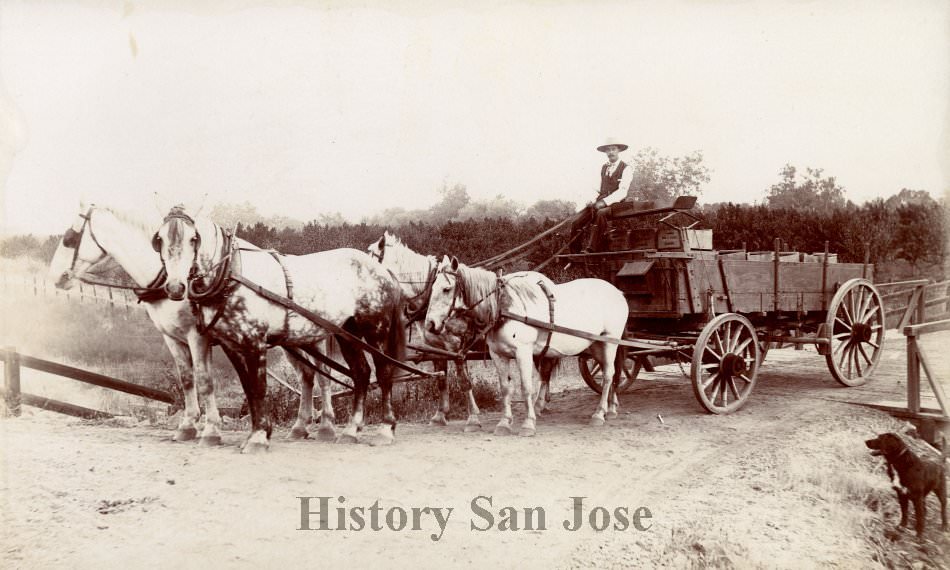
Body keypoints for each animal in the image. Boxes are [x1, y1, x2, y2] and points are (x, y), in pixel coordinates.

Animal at [46, 203, 342, 444]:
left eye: (69, 238)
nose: (56, 277)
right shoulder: (172, 337)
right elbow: (187, 379)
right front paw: (188, 427)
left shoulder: (197, 336)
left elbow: (204, 380)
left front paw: (211, 430)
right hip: (294, 340)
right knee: (307, 376)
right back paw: (300, 427)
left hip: (315, 337)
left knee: (323, 379)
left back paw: (326, 427)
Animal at [154, 206, 408, 450]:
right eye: (160, 240)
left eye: (193, 239)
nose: (175, 287)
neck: (230, 273)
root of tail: (382, 270)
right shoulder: (232, 345)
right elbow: (248, 388)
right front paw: (256, 433)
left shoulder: (254, 342)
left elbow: (259, 388)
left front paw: (258, 437)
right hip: (347, 332)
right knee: (361, 374)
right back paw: (351, 430)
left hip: (375, 329)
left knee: (383, 372)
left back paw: (385, 429)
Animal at [366, 231, 484, 430]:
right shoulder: (435, 346)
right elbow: (441, 380)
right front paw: (440, 415)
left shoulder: (456, 347)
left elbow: (464, 381)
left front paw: (474, 418)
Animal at [426, 255, 632, 432]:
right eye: (431, 289)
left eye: (446, 289)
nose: (430, 324)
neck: (502, 307)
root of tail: (618, 292)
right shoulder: (498, 355)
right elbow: (505, 388)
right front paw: (504, 423)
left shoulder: (523, 352)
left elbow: (526, 387)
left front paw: (528, 423)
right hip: (595, 345)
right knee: (612, 373)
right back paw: (611, 408)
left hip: (610, 342)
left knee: (608, 375)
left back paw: (599, 413)